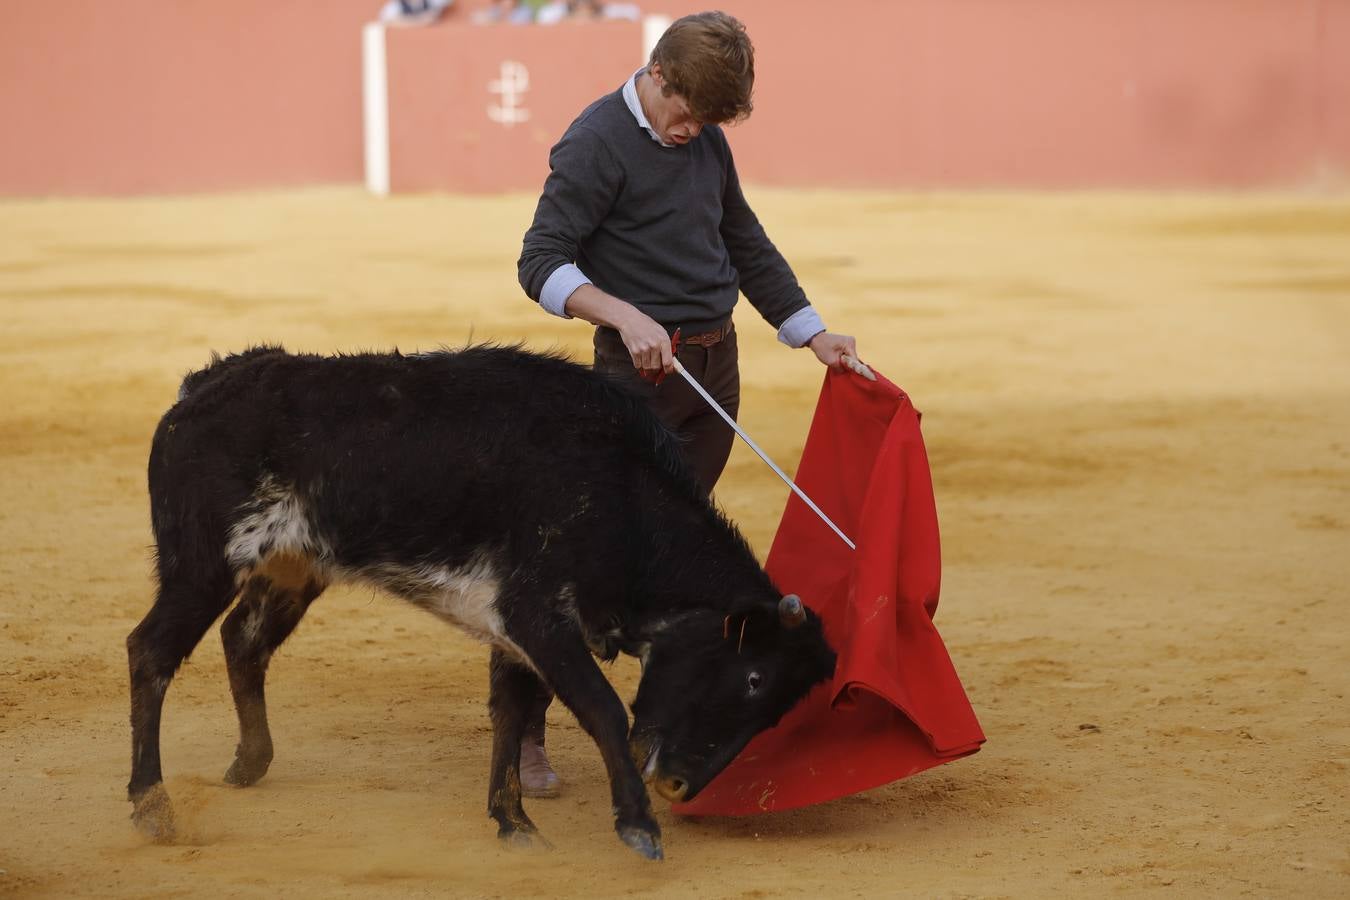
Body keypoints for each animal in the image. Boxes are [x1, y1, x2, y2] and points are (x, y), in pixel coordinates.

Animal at [131, 342, 837, 858]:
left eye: (778, 705)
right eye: (752, 677)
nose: (677, 785)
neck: (619, 495)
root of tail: (202, 386)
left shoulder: (516, 633)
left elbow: (509, 713)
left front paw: (513, 823)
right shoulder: (538, 617)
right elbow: (603, 709)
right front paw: (638, 826)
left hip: (292, 569)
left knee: (242, 640)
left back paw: (248, 763)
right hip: (202, 566)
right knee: (151, 651)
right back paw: (151, 805)